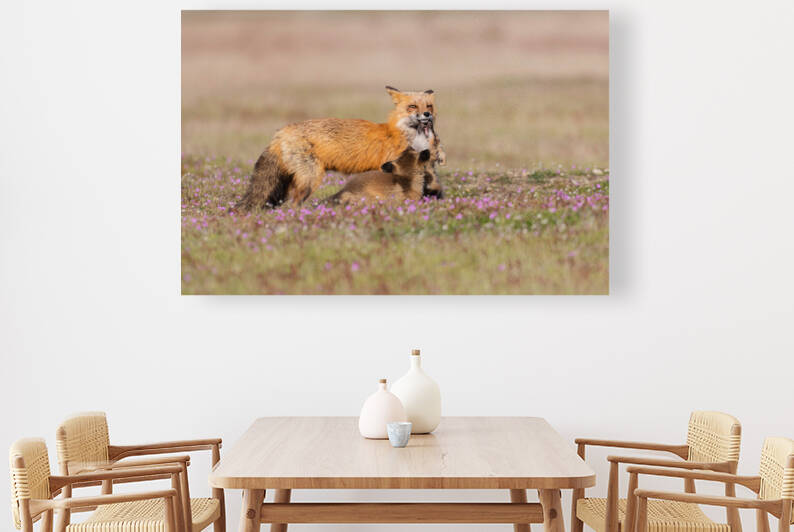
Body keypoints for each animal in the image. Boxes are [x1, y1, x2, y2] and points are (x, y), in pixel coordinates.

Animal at [236, 86, 445, 210]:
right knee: (294, 205)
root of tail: (280, 133)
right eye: (412, 107)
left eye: (428, 106)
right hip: (310, 180)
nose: (427, 115)